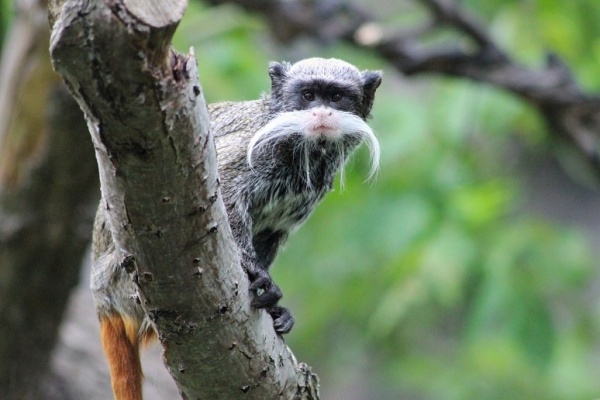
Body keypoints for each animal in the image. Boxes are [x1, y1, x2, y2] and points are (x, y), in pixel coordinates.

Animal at [91, 57, 382, 400]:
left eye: (336, 97)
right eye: (308, 95)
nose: (322, 113)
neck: (303, 150)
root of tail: (102, 301)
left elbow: (270, 232)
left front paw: (273, 304)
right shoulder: (249, 150)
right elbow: (226, 194)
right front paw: (254, 272)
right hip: (121, 279)